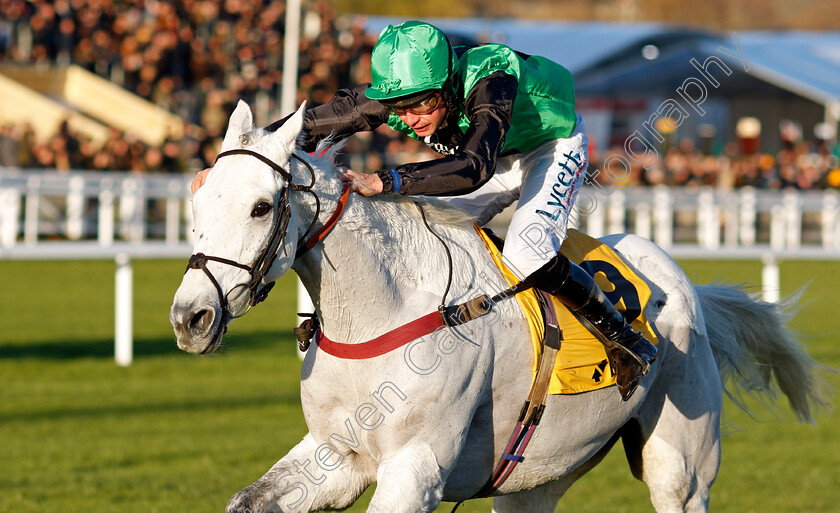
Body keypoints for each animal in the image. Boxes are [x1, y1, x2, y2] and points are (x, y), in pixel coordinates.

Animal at [169, 102, 828, 512]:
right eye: (197, 200)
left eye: (261, 207)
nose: (190, 318)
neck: (379, 314)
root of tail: (676, 276)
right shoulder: (337, 456)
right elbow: (249, 499)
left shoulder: (415, 468)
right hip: (540, 473)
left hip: (682, 464)